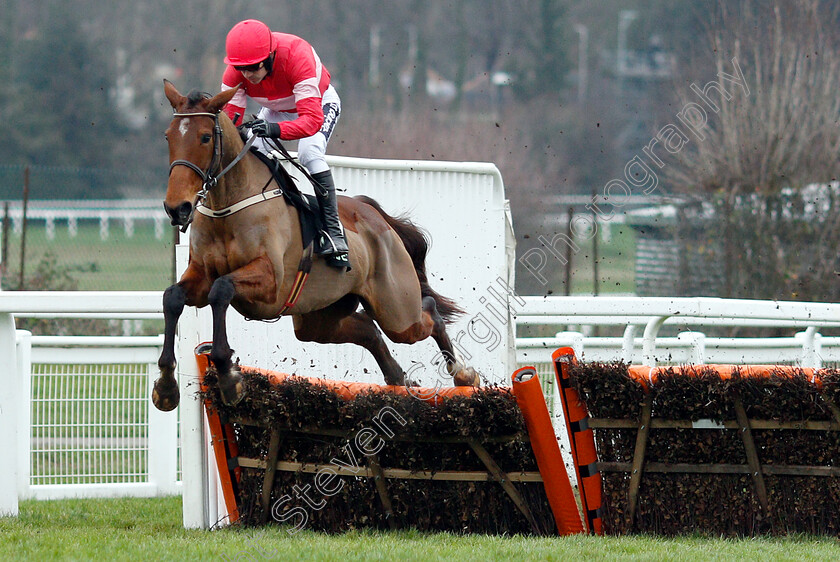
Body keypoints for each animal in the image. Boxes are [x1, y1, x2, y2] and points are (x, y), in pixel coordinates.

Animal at [152, 80, 480, 412]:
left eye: (205, 137)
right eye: (168, 136)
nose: (177, 208)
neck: (228, 207)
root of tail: (374, 215)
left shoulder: (270, 281)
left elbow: (221, 290)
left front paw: (229, 377)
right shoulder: (201, 274)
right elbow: (173, 297)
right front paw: (166, 385)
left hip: (398, 312)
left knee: (428, 314)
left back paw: (463, 373)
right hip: (319, 318)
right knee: (369, 331)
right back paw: (397, 378)